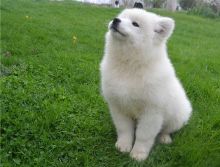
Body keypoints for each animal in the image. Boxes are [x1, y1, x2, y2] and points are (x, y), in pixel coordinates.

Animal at [99, 8, 191, 160]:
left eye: (135, 24)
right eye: (120, 17)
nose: (115, 20)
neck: (129, 65)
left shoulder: (152, 112)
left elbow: (144, 135)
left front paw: (138, 154)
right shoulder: (118, 106)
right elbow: (124, 129)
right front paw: (123, 146)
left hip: (176, 116)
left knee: (166, 129)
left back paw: (165, 138)